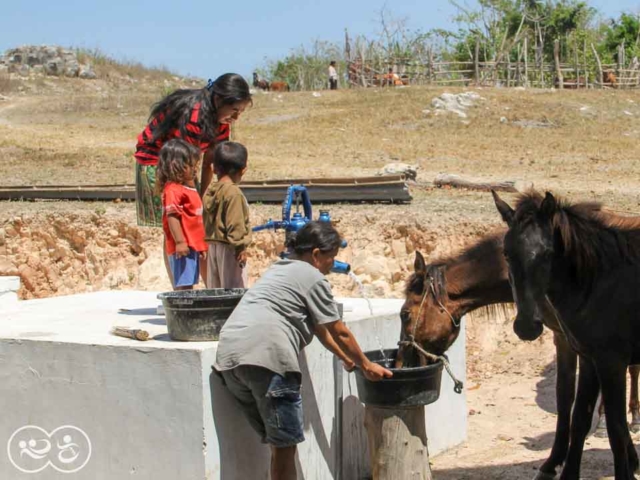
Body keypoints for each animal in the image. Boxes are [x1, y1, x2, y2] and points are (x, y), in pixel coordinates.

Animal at [492, 189, 640, 478]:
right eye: (506, 253)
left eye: (547, 253)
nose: (527, 327)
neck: (599, 280)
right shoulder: (589, 359)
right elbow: (579, 418)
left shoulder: (612, 363)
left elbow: (616, 428)